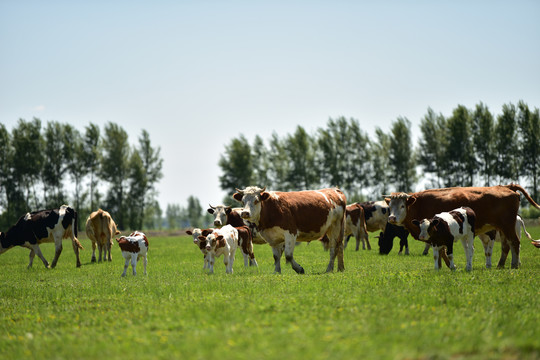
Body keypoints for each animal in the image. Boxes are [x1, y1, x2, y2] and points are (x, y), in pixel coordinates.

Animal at [384, 184, 540, 268]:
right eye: (390, 207)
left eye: (402, 206)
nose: (391, 218)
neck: (420, 204)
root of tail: (506, 187)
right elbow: (439, 252)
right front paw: (440, 266)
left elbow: (443, 252)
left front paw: (449, 265)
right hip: (502, 228)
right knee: (507, 246)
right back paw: (501, 265)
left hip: (507, 225)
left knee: (515, 242)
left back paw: (514, 265)